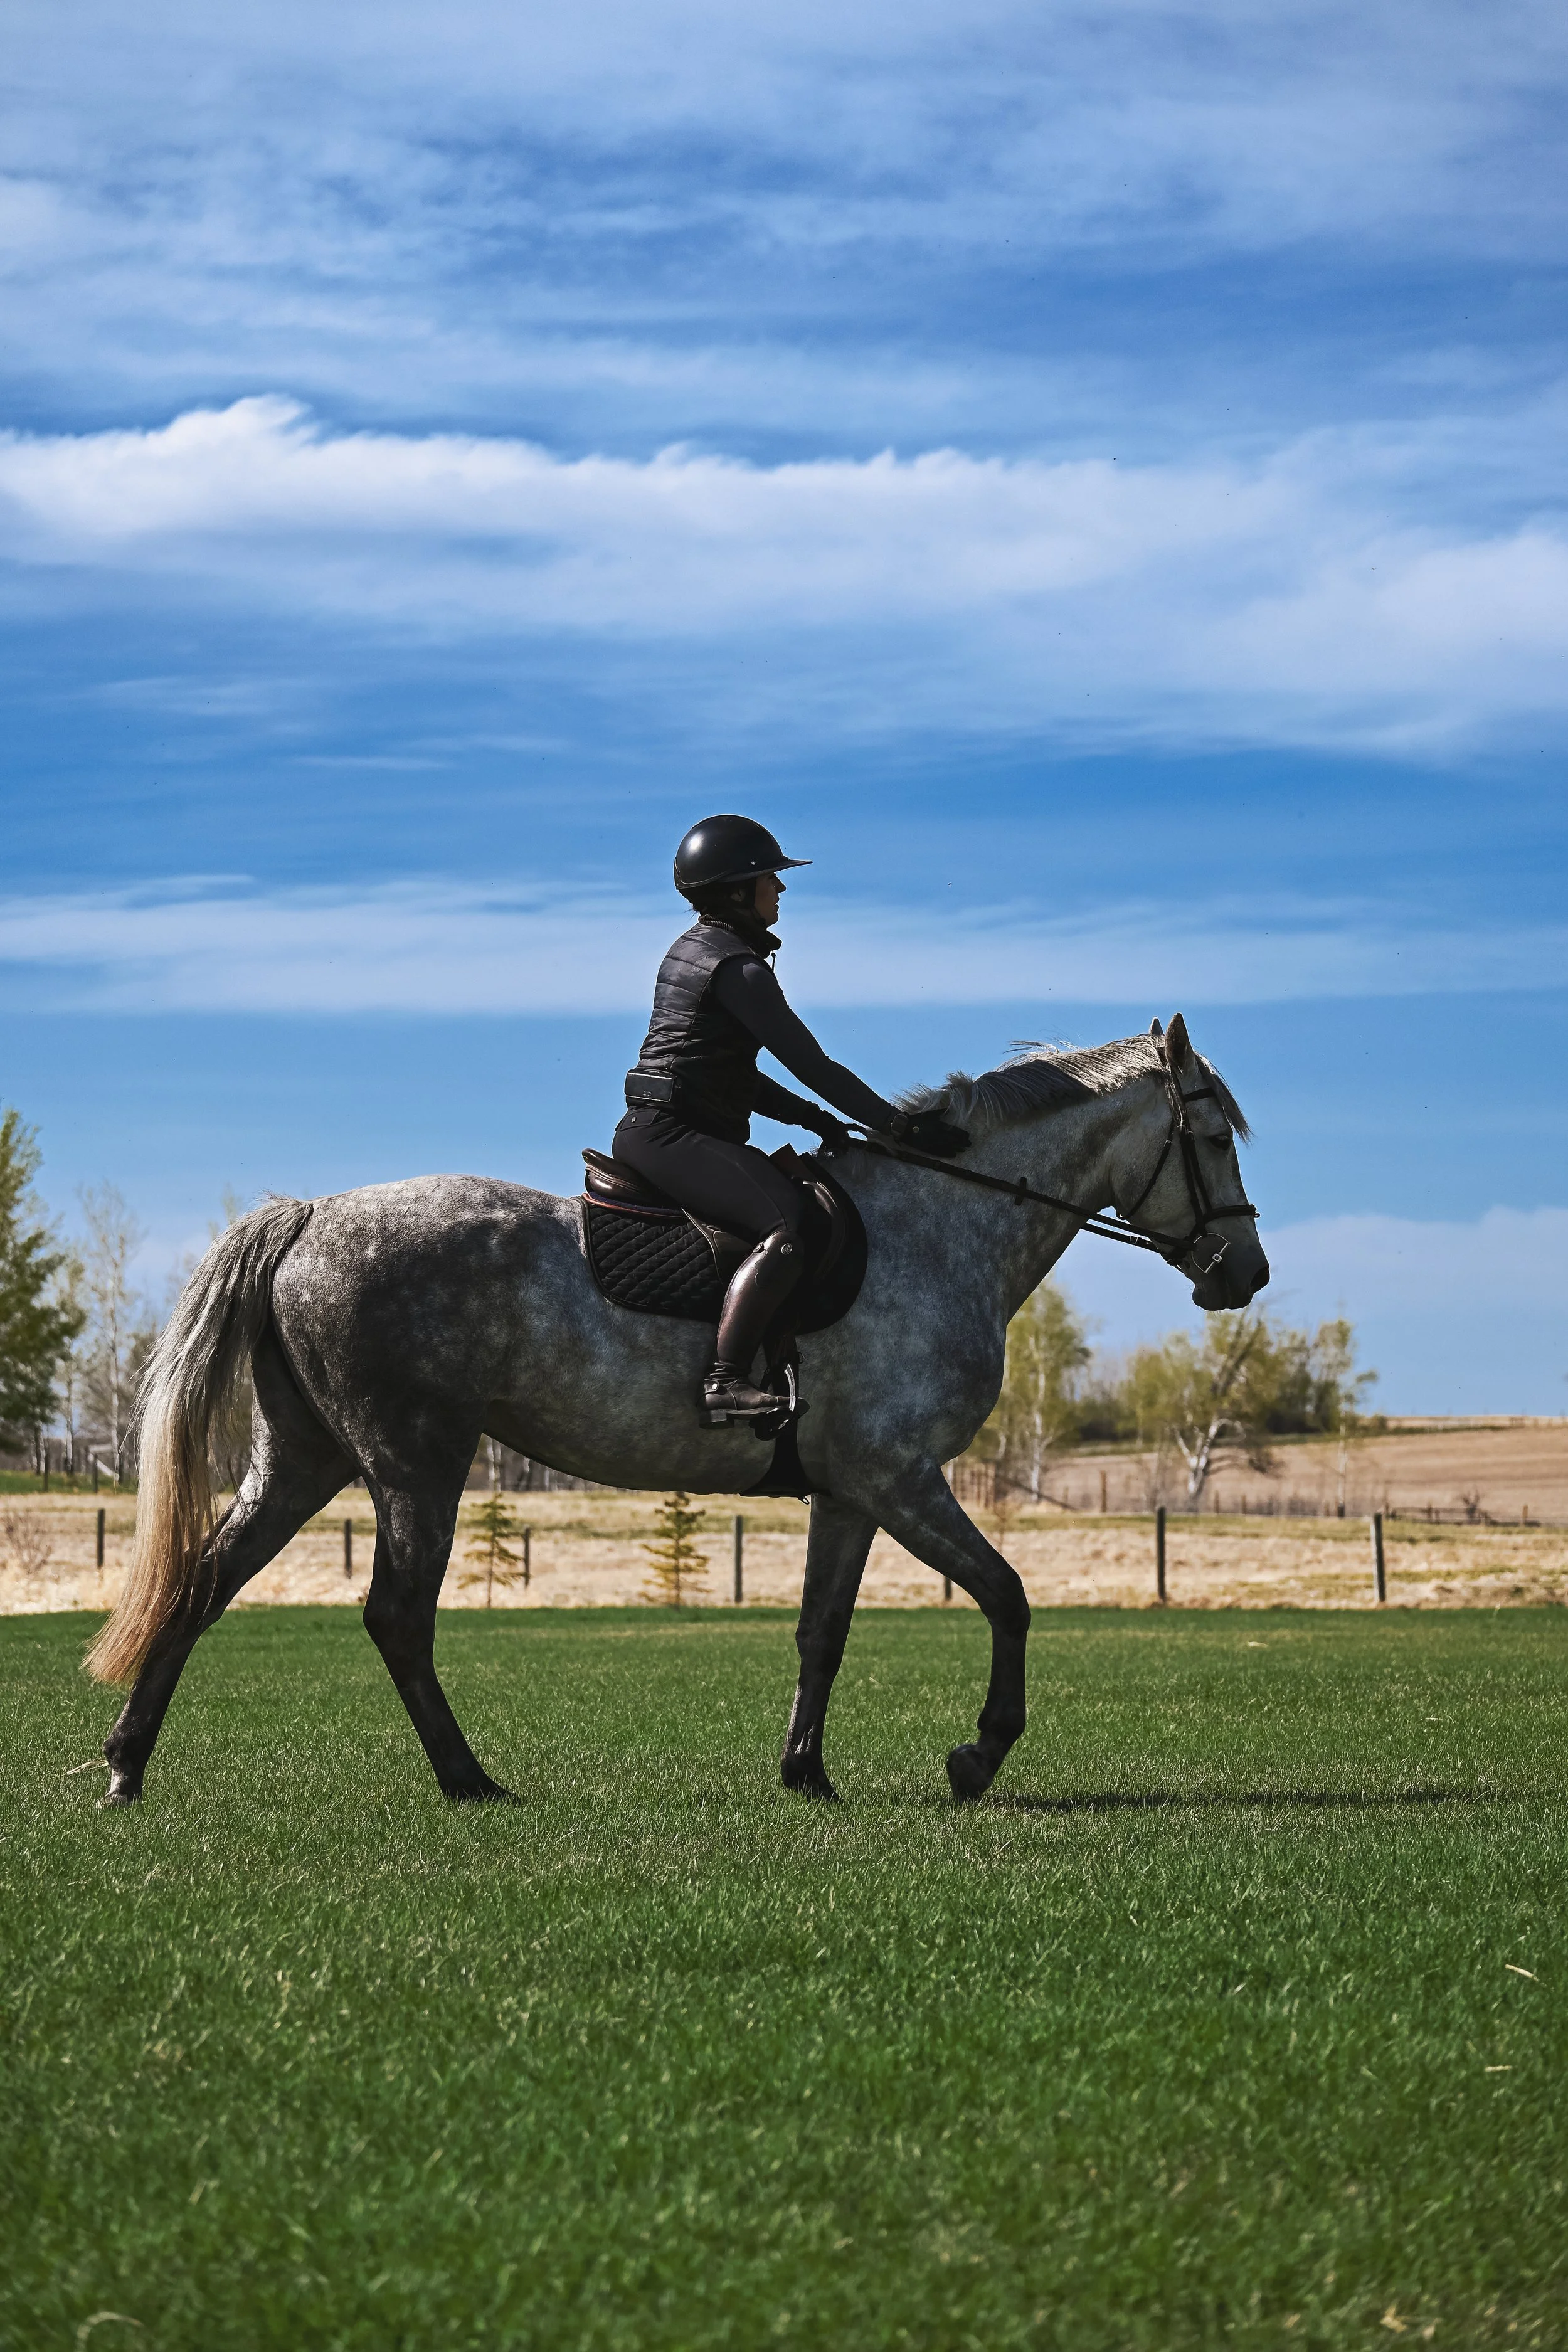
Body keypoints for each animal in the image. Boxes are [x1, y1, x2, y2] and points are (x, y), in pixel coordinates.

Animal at [87, 1013, 1268, 1808]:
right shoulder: (902, 1478)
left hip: (305, 1458)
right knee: (396, 1618)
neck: (938, 1229)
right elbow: (1009, 1596)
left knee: (203, 1583)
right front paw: (977, 1755)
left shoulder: (851, 1494)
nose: (1242, 1273)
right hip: (416, 1461)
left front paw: (805, 1771)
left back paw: (127, 1766)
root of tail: (311, 1214)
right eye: (1212, 1137)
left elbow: (823, 1632)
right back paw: (469, 1779)